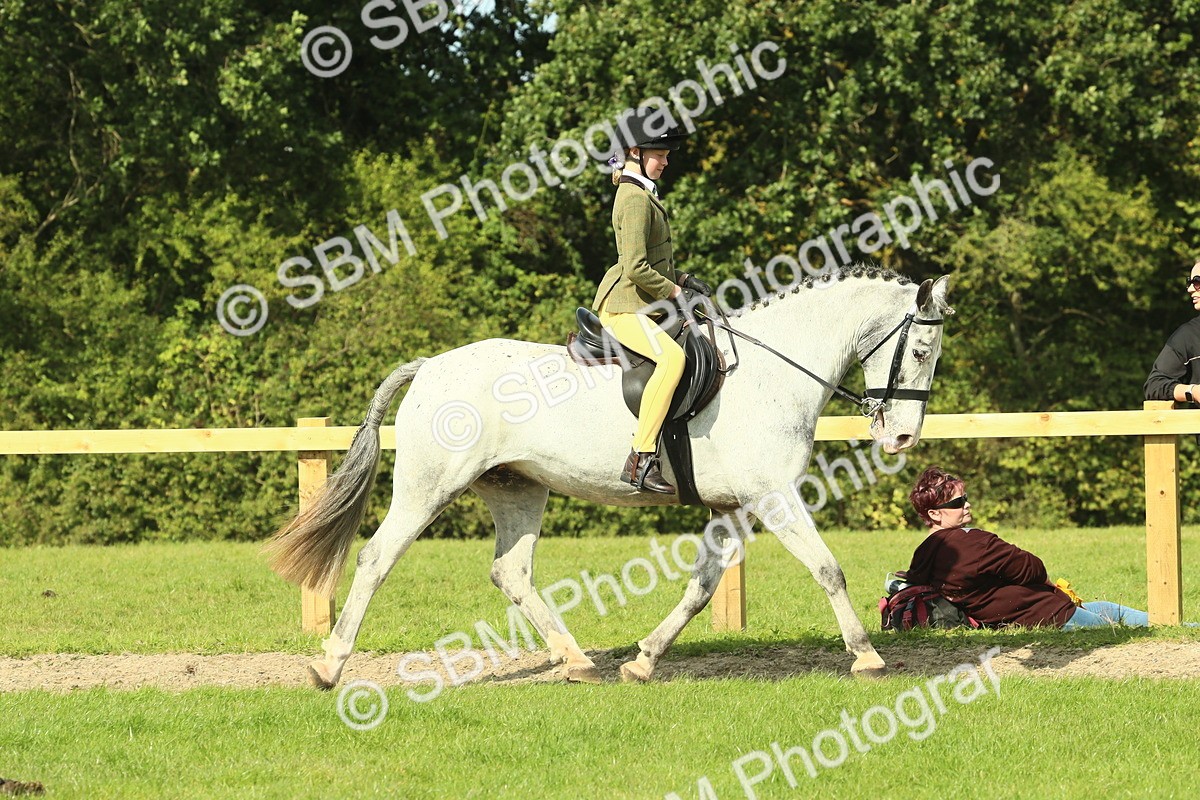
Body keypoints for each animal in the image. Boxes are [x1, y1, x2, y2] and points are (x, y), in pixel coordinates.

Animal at [266, 266, 953, 688]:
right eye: (921, 352)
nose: (901, 438)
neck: (770, 373)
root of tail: (431, 365)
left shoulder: (730, 507)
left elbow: (701, 589)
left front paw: (644, 661)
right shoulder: (773, 496)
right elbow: (828, 568)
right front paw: (866, 654)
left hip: (519, 490)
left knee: (511, 572)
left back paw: (576, 662)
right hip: (427, 488)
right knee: (376, 558)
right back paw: (329, 667)